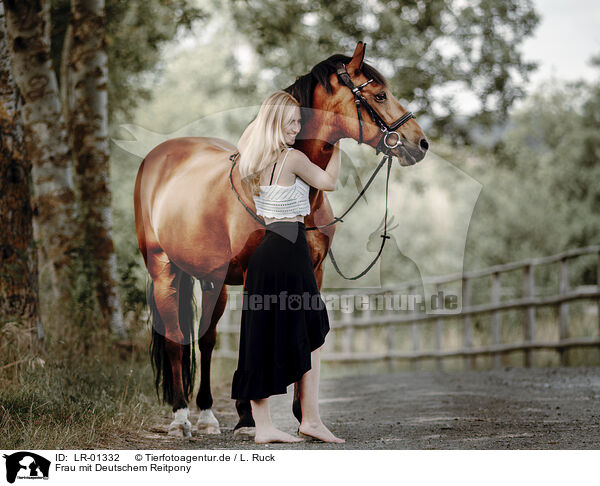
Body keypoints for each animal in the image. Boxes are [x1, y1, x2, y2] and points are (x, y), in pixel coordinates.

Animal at [134, 41, 428, 436]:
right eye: (380, 94)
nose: (419, 143)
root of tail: (158, 158)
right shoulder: (255, 275)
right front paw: (251, 414)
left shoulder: (313, 273)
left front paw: (297, 414)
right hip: (163, 269)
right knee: (175, 341)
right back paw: (182, 417)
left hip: (212, 280)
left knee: (206, 340)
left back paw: (209, 414)